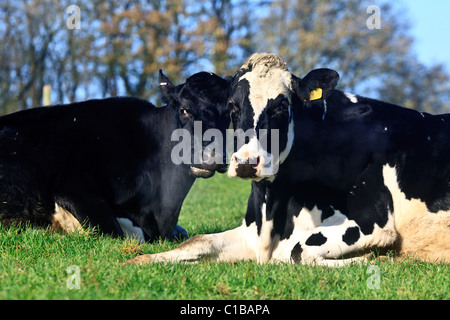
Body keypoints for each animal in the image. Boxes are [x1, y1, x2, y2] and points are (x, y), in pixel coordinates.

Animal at [125, 53, 450, 266]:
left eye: (282, 106)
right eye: (232, 105)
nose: (247, 162)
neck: (273, 206)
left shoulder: (373, 222)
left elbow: (293, 251)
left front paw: (370, 259)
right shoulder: (251, 232)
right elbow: (197, 241)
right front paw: (140, 260)